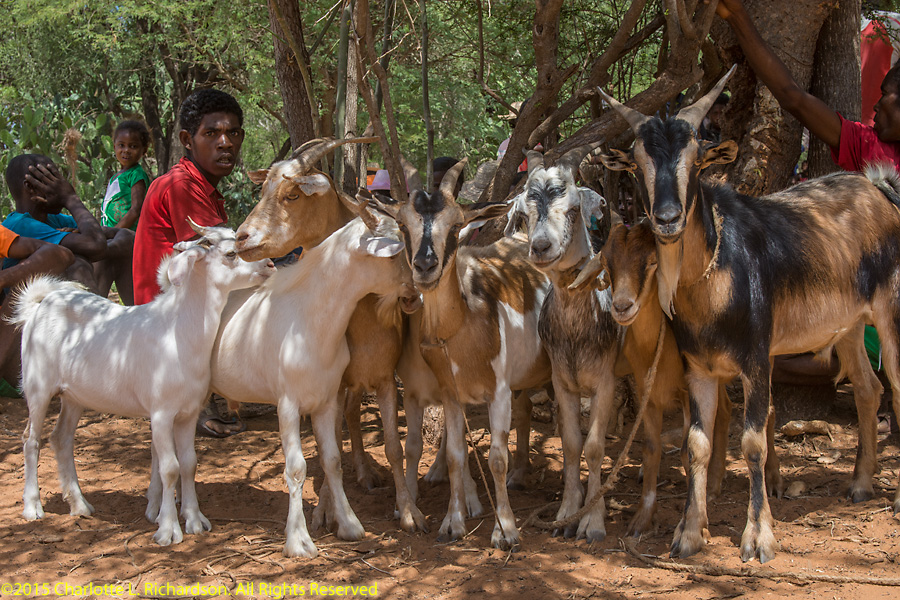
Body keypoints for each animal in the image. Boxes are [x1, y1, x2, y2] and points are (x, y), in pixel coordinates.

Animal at [14, 223, 274, 546]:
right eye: (230, 253)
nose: (270, 264)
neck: (178, 332)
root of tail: (39, 305)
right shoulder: (161, 413)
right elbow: (170, 467)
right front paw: (168, 530)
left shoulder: (188, 413)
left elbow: (189, 463)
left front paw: (195, 520)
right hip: (37, 385)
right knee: (31, 439)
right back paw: (33, 507)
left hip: (74, 396)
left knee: (61, 438)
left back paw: (80, 505)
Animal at [210, 201, 421, 558]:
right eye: (394, 255)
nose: (414, 291)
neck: (308, 320)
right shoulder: (288, 405)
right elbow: (296, 468)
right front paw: (298, 540)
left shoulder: (325, 399)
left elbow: (332, 459)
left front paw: (349, 525)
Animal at [372, 160, 552, 550]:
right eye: (403, 225)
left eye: (456, 226)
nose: (425, 266)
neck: (465, 325)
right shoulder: (451, 394)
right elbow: (455, 456)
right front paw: (451, 524)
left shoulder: (497, 391)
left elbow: (496, 458)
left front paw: (506, 530)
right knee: (526, 411)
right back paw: (520, 473)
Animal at [595, 66, 900, 562]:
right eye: (639, 161)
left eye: (697, 158)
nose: (667, 218)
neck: (712, 277)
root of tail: (879, 188)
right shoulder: (698, 366)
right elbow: (696, 445)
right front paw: (688, 533)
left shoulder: (757, 358)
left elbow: (752, 442)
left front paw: (758, 537)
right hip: (850, 324)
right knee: (868, 389)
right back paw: (859, 484)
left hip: (889, 311)